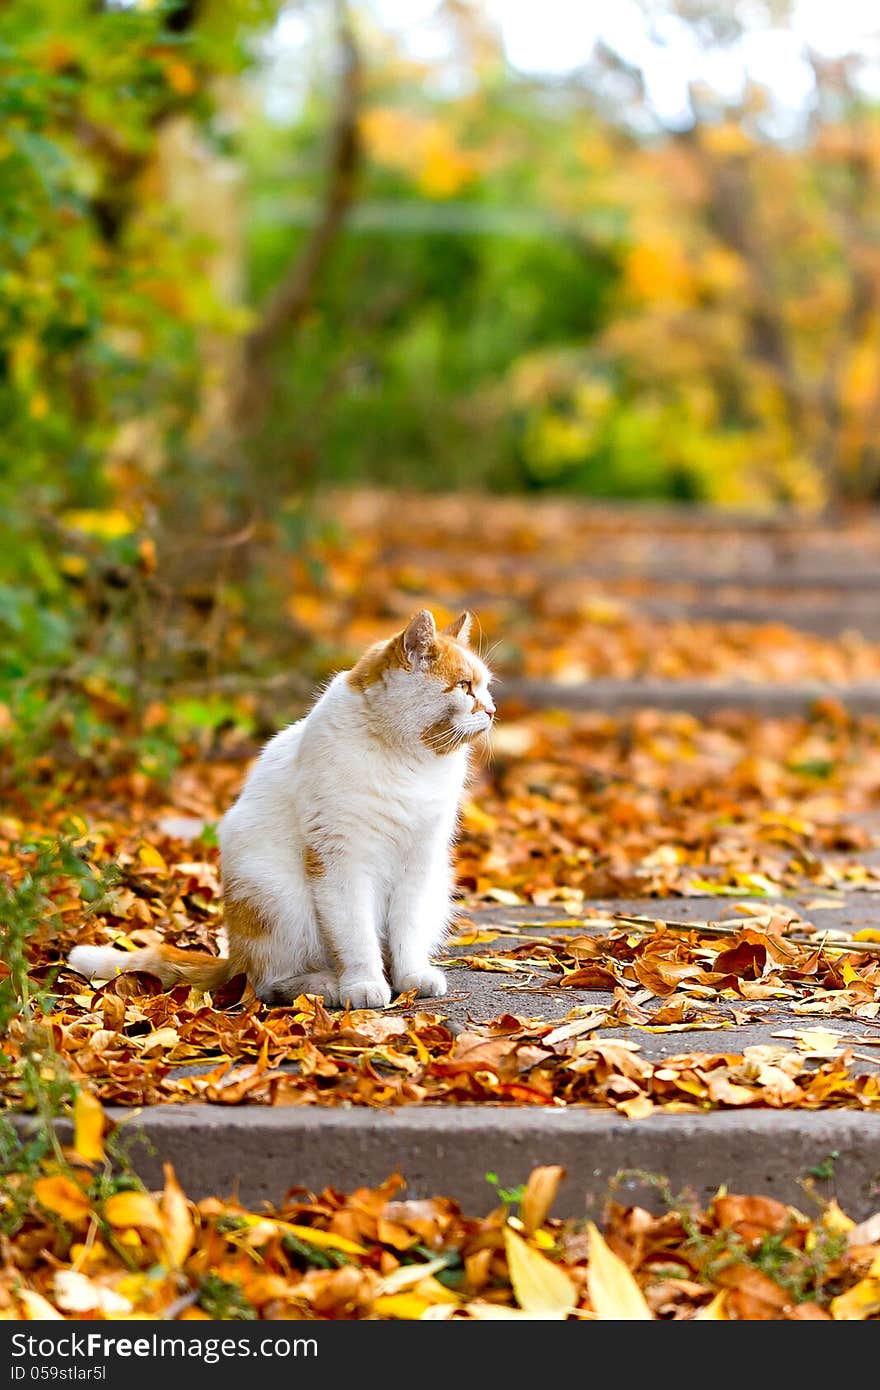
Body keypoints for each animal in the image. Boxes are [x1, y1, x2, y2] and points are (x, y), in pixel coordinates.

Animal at [68, 608, 494, 1011]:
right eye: (464, 687)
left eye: (486, 688)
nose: (491, 710)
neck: (410, 763)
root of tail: (234, 959)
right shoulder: (340, 861)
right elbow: (356, 937)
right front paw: (363, 984)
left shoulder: (420, 862)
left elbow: (407, 931)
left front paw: (411, 978)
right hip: (277, 896)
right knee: (267, 982)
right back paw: (326, 986)